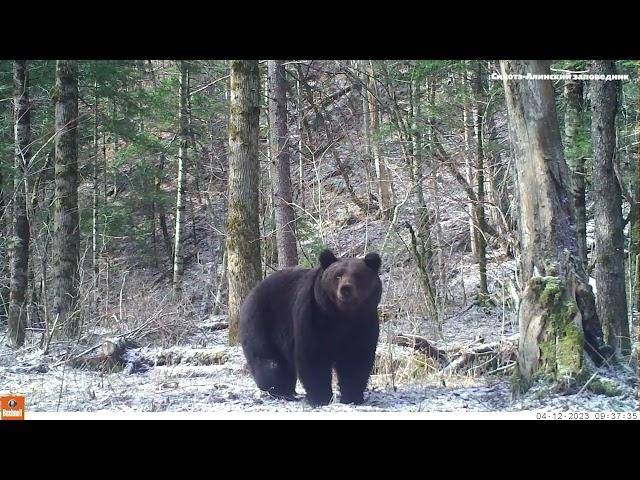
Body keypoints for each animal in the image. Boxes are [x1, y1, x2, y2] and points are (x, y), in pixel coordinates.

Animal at [239, 249, 380, 406]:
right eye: (337, 275)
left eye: (358, 275)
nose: (345, 289)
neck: (341, 315)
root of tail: (251, 293)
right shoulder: (314, 315)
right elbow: (313, 356)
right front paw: (321, 397)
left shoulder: (363, 322)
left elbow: (356, 358)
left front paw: (352, 397)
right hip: (262, 321)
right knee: (269, 360)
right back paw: (278, 390)